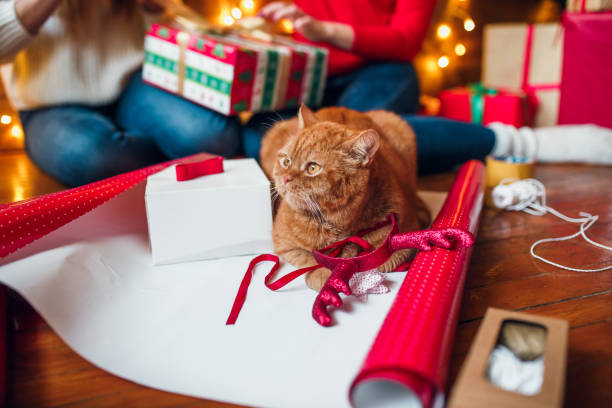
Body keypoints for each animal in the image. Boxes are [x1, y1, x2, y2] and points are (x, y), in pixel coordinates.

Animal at [260, 105, 428, 290]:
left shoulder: (406, 229)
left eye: (313, 168)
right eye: (287, 161)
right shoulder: (284, 244)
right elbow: (309, 257)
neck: (338, 224)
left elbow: (389, 253)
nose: (285, 178)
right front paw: (324, 273)